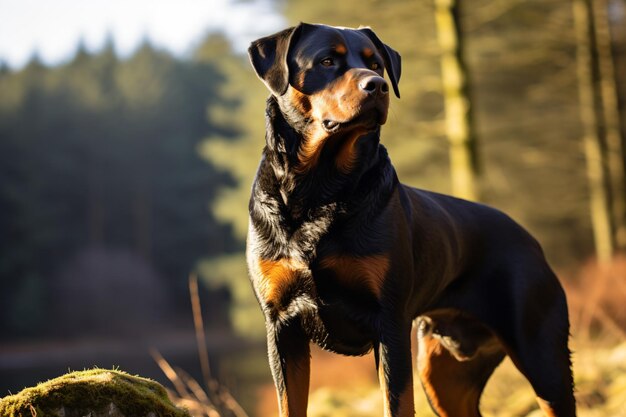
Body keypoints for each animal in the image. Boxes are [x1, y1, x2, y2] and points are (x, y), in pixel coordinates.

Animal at [245, 23, 576, 416]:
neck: (319, 187)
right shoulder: (281, 325)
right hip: (443, 376)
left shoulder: (388, 322)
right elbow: (289, 402)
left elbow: (397, 402)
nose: (377, 85)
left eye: (377, 64)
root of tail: (532, 242)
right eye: (326, 61)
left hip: (542, 356)